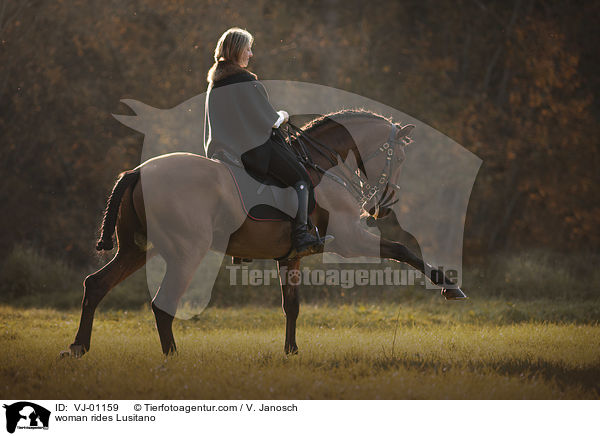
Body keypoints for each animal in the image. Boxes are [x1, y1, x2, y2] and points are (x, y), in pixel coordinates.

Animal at [61, 109, 466, 358]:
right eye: (399, 157)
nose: (383, 206)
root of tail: (138, 172)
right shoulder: (351, 240)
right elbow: (403, 250)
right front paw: (449, 286)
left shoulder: (290, 257)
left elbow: (292, 306)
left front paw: (291, 352)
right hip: (185, 253)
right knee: (162, 303)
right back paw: (172, 356)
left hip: (137, 250)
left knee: (96, 285)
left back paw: (79, 347)